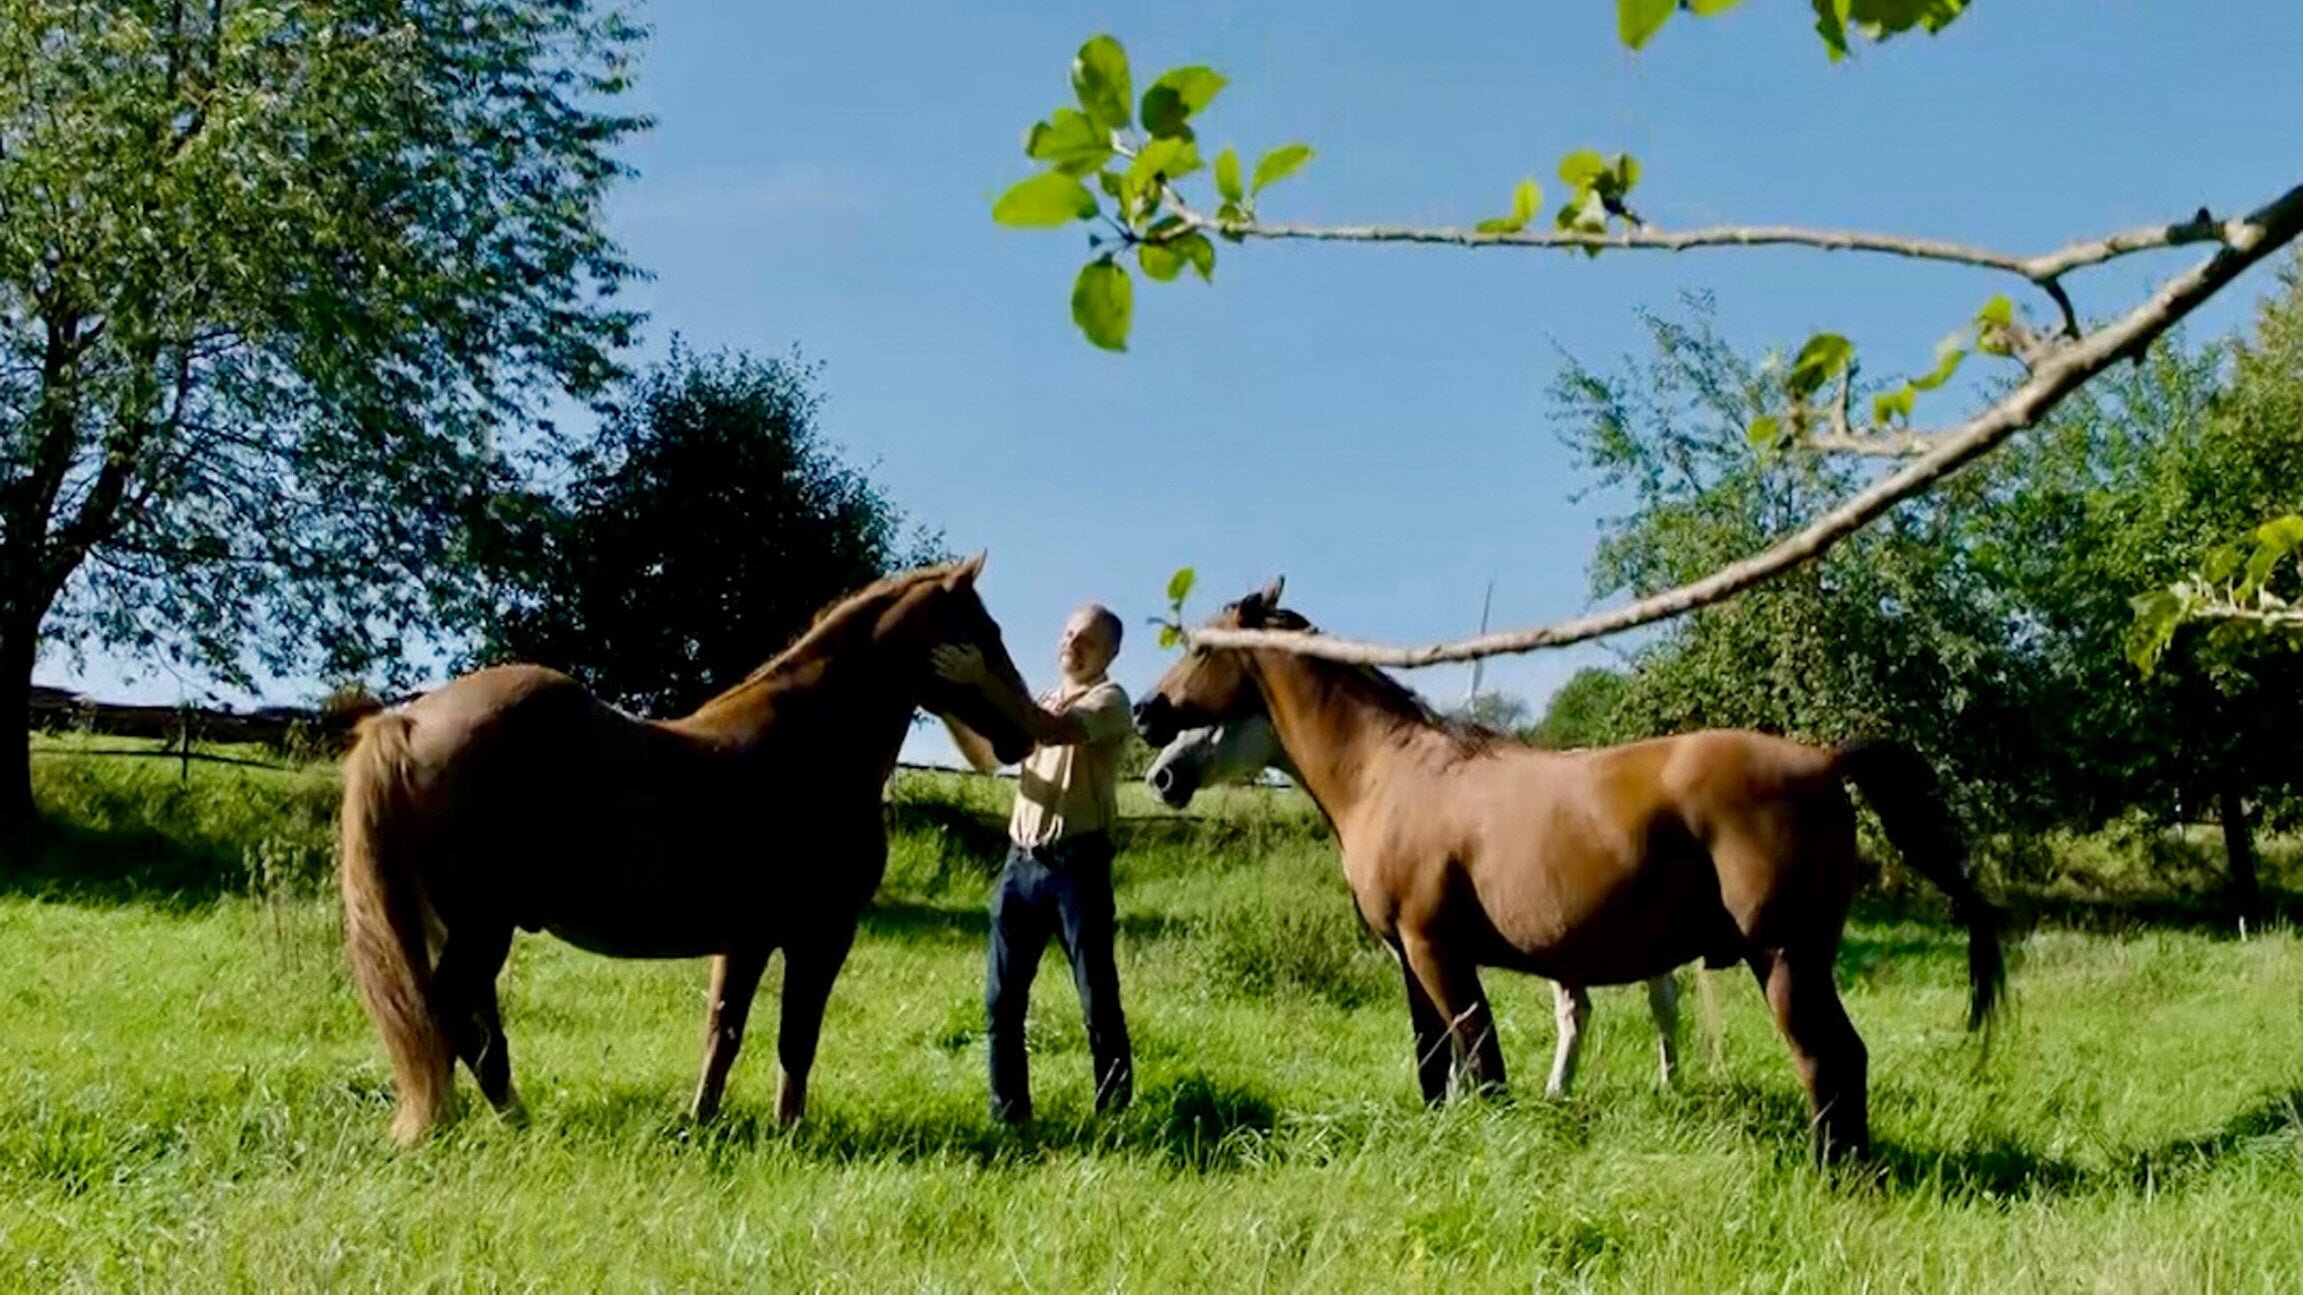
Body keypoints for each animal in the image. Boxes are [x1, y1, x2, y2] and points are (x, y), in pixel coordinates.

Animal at [336, 555, 1031, 1138]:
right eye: (984, 632)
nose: (1024, 736)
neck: (813, 744)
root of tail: (409, 721)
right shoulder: (821, 935)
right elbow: (796, 1038)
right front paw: (790, 1132)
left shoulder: (746, 938)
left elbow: (722, 1032)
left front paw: (700, 1122)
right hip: (483, 927)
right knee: (446, 1019)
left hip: (470, 928)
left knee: (473, 1031)